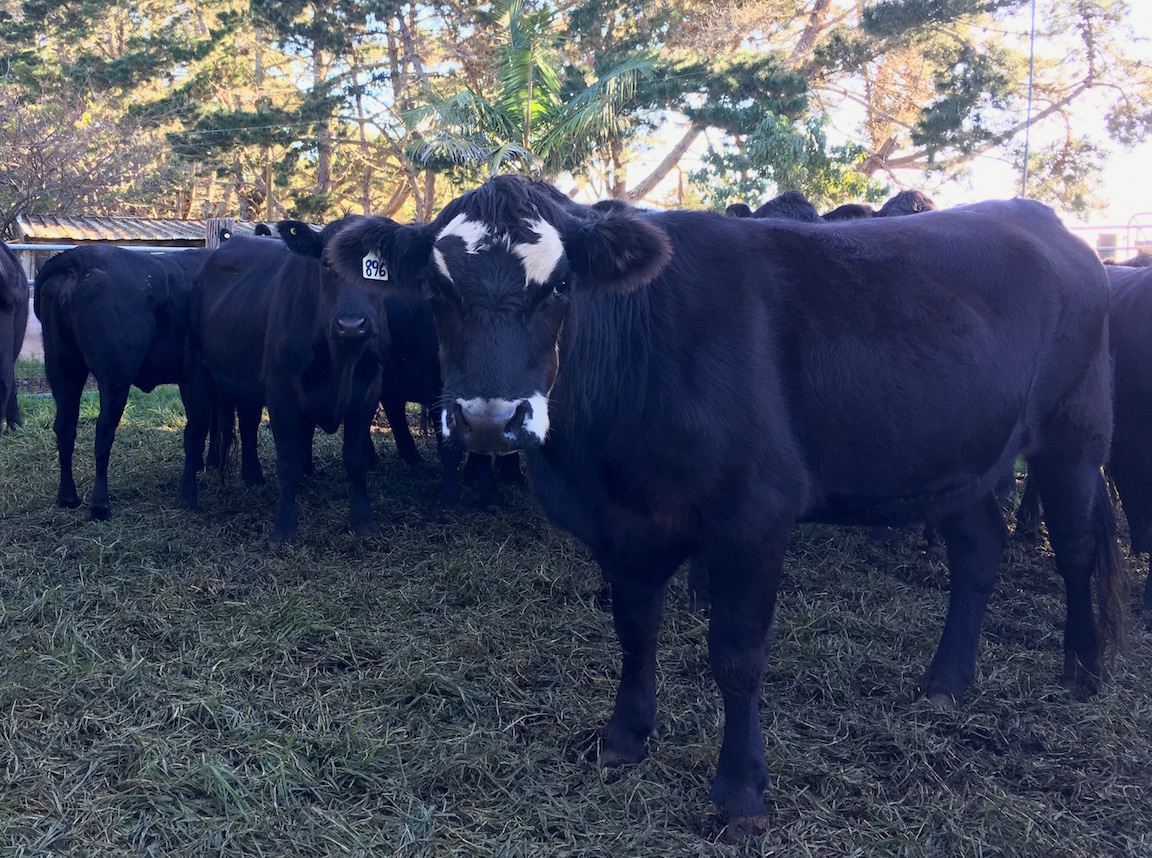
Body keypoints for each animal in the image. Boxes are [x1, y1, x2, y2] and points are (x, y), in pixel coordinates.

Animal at [33, 244, 209, 518]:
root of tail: (81, 257)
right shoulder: (196, 375)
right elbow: (197, 429)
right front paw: (188, 496)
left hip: (63, 370)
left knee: (65, 428)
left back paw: (68, 497)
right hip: (115, 378)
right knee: (103, 431)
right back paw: (100, 505)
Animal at [324, 170, 1124, 833]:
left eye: (559, 287)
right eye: (437, 290)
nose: (490, 419)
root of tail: (1041, 219)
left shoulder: (754, 519)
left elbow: (737, 656)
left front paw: (740, 795)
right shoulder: (622, 527)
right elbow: (634, 631)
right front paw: (624, 738)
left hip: (1074, 429)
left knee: (1076, 545)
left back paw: (1084, 665)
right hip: (957, 457)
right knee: (979, 550)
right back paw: (946, 682)